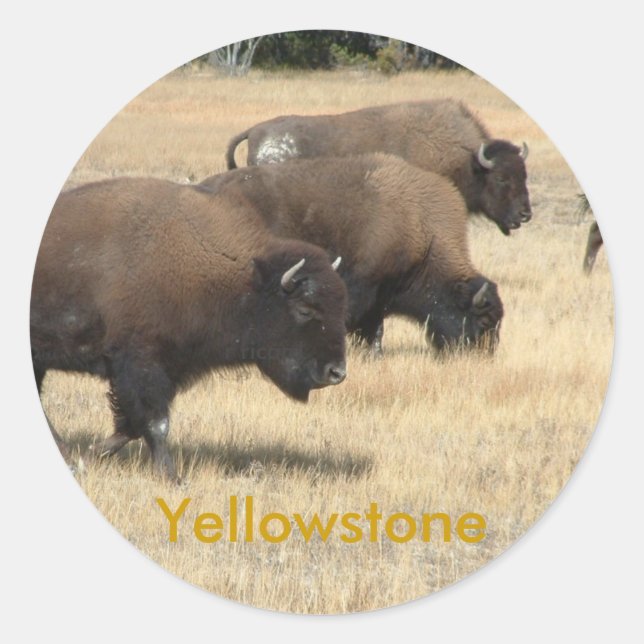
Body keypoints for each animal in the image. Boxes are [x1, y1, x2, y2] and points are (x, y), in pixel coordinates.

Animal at [31, 178, 348, 479]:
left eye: (340, 308)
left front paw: (92, 454)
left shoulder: (167, 369)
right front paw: (172, 477)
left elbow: (131, 426)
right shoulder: (142, 364)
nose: (337, 372)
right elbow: (156, 423)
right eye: (304, 309)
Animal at [200, 153, 504, 356]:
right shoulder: (364, 285)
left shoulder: (381, 295)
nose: (485, 355)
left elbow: (375, 326)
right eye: (485, 320)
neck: (422, 229)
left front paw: (374, 353)